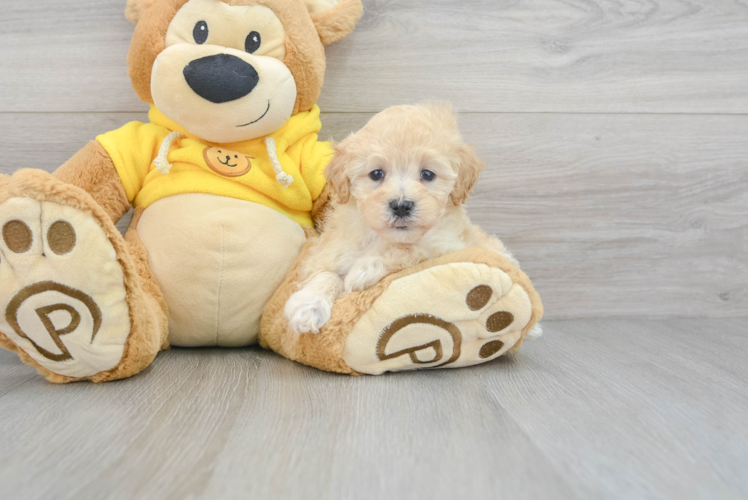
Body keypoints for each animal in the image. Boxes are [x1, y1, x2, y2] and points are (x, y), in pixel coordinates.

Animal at [284, 103, 516, 334]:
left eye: (428, 174)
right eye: (376, 174)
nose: (401, 206)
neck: (382, 237)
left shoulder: (446, 246)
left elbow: (408, 251)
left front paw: (364, 270)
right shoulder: (333, 247)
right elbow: (325, 271)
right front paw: (308, 305)